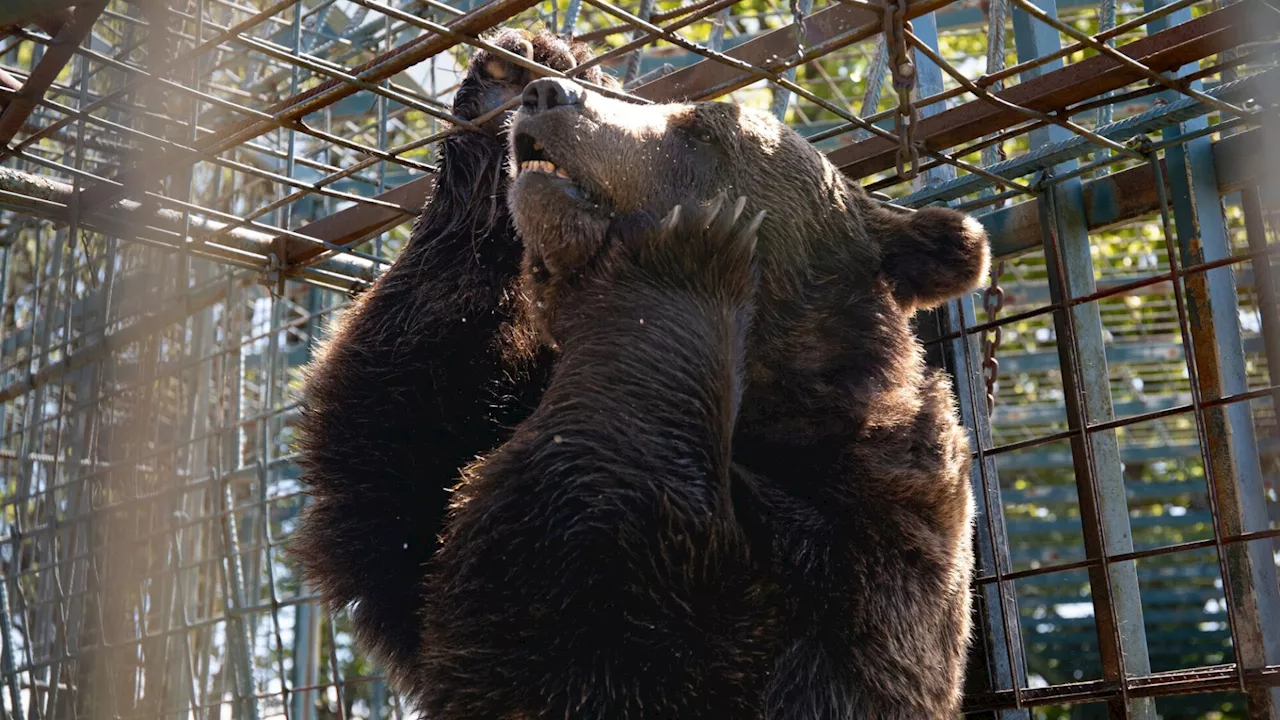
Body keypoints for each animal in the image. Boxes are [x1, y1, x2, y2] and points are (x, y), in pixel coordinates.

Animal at [412, 78, 988, 717]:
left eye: (701, 130)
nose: (547, 96)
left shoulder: (873, 548)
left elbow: (604, 609)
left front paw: (686, 250)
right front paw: (499, 87)